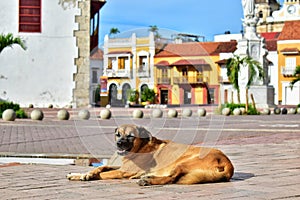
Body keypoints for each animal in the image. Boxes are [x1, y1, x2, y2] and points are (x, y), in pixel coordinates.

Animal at [68, 123, 234, 186]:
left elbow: (103, 173)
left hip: (182, 162)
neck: (141, 147)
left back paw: (148, 180)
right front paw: (81, 174)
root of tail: (227, 164)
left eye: (130, 136)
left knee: (172, 178)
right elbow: (100, 168)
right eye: (118, 134)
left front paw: (89, 176)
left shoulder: (124, 171)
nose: (119, 144)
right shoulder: (120, 167)